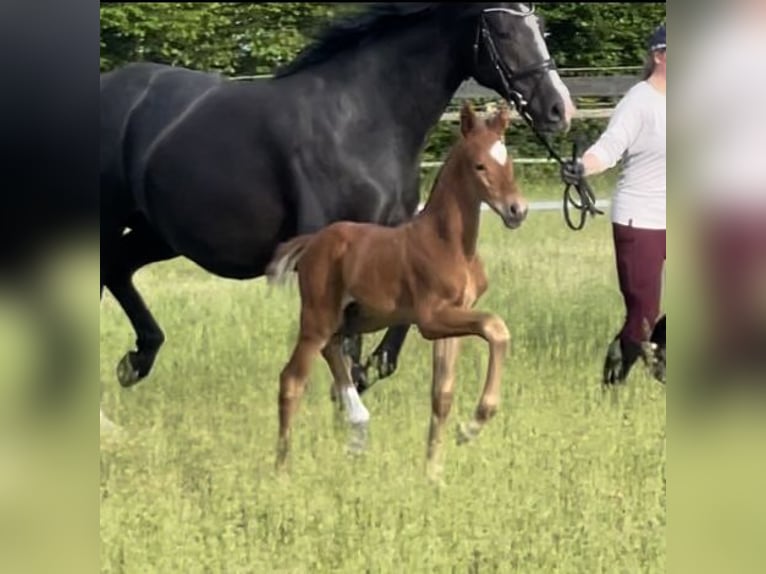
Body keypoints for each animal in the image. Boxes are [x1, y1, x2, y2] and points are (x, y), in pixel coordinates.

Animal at [100, 1, 576, 396]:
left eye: (540, 27)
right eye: (504, 31)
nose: (559, 109)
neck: (360, 120)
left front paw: (370, 370)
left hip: (158, 233)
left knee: (118, 270)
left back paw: (136, 360)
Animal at [268, 101, 528, 480]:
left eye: (508, 163)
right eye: (480, 165)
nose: (517, 210)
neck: (449, 243)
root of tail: (313, 242)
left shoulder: (454, 319)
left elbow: (442, 394)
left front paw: (433, 473)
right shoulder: (432, 319)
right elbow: (496, 327)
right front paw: (471, 427)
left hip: (354, 317)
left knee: (334, 353)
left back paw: (358, 430)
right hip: (318, 317)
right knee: (292, 380)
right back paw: (282, 471)